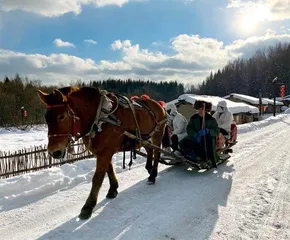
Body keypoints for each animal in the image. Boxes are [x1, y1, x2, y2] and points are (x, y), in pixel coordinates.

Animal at [37, 86, 167, 219]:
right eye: (46, 118)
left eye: (61, 116)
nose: (54, 152)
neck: (100, 117)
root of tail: (158, 104)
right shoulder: (102, 151)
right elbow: (109, 170)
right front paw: (113, 189)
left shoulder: (105, 151)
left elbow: (98, 178)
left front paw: (88, 206)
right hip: (144, 138)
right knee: (150, 150)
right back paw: (149, 168)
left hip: (157, 134)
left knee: (157, 153)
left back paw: (152, 175)